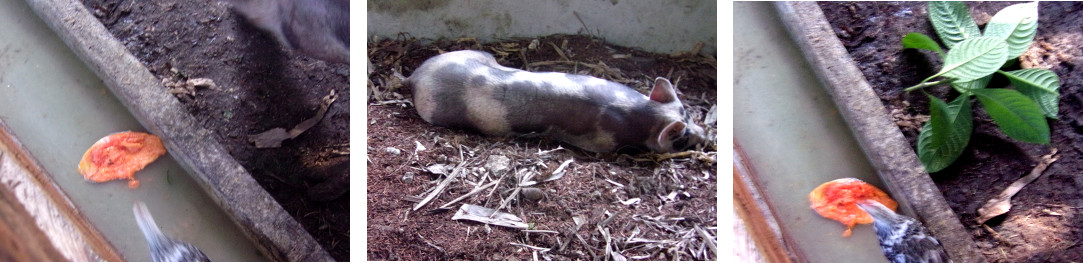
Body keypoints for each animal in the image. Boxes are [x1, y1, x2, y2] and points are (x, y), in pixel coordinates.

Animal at [407, 50, 710, 152]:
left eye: (687, 113)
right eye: (681, 139)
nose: (706, 135)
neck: (641, 112)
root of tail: (416, 76)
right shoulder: (601, 142)